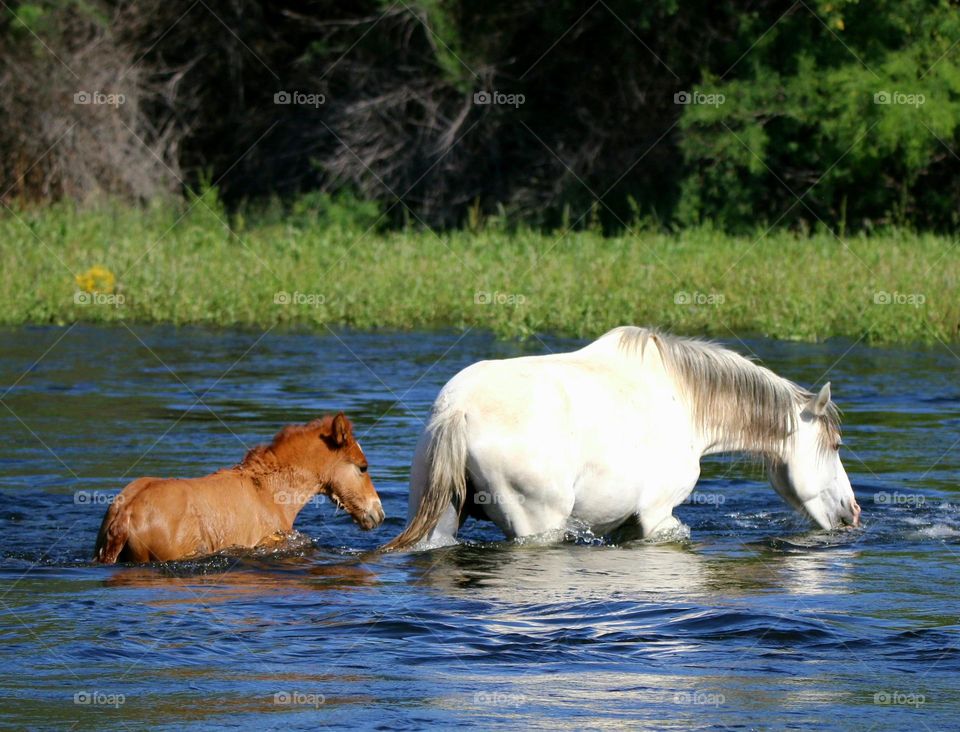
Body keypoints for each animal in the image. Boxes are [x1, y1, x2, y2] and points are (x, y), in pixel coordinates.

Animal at [383, 326, 860, 551]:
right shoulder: (657, 516)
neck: (685, 400)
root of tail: (457, 410)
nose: (852, 512)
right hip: (538, 525)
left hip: (442, 517)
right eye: (836, 446)